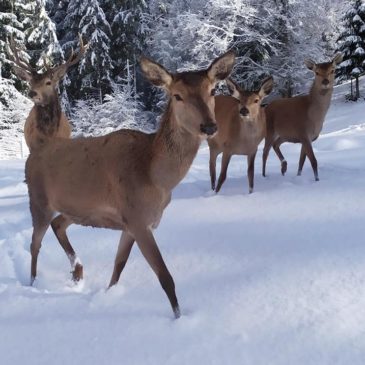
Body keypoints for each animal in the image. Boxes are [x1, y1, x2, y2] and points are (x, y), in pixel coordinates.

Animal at [24, 49, 235, 318]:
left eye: (212, 90)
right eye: (177, 95)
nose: (209, 126)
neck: (157, 179)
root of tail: (31, 156)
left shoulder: (130, 223)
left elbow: (119, 266)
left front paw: (107, 297)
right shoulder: (137, 217)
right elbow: (165, 277)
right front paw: (179, 318)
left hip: (77, 209)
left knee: (58, 224)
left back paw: (77, 272)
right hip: (38, 200)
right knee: (35, 243)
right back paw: (33, 283)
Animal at [262, 53, 342, 181]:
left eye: (332, 70)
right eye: (317, 72)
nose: (325, 81)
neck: (314, 118)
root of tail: (265, 108)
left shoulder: (306, 137)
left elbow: (301, 161)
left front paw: (298, 176)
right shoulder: (303, 133)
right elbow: (313, 161)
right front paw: (317, 180)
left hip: (285, 135)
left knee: (276, 144)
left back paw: (284, 167)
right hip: (269, 130)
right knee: (265, 152)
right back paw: (264, 175)